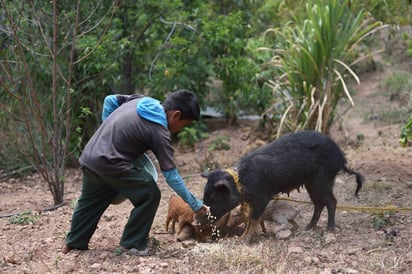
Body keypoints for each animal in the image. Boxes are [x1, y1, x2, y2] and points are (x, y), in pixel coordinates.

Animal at [196, 130, 364, 242]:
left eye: (214, 195)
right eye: (205, 192)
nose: (197, 219)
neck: (242, 183)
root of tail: (341, 158)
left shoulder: (263, 196)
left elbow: (254, 218)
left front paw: (244, 241)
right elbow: (249, 219)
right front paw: (240, 238)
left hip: (323, 180)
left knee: (331, 201)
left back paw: (329, 229)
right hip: (310, 183)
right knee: (319, 203)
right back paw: (307, 227)